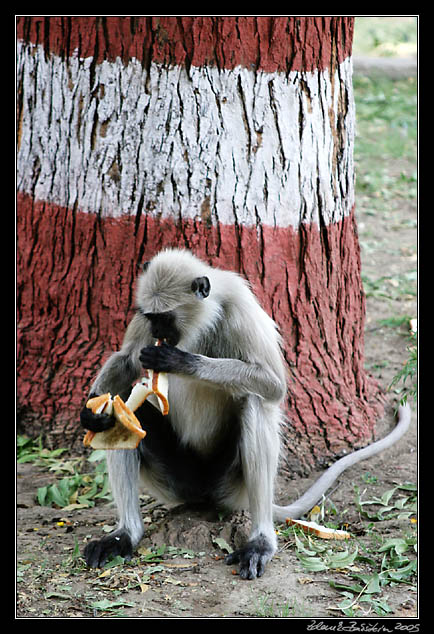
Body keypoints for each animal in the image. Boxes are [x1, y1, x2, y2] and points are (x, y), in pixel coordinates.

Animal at [80, 247, 410, 576]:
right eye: (151, 318)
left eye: (166, 318)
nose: (157, 331)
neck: (202, 319)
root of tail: (203, 494)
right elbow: (127, 360)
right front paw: (91, 413)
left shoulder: (240, 308)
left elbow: (273, 385)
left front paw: (179, 361)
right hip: (174, 481)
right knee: (124, 403)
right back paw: (125, 534)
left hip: (231, 484)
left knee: (256, 402)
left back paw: (260, 541)